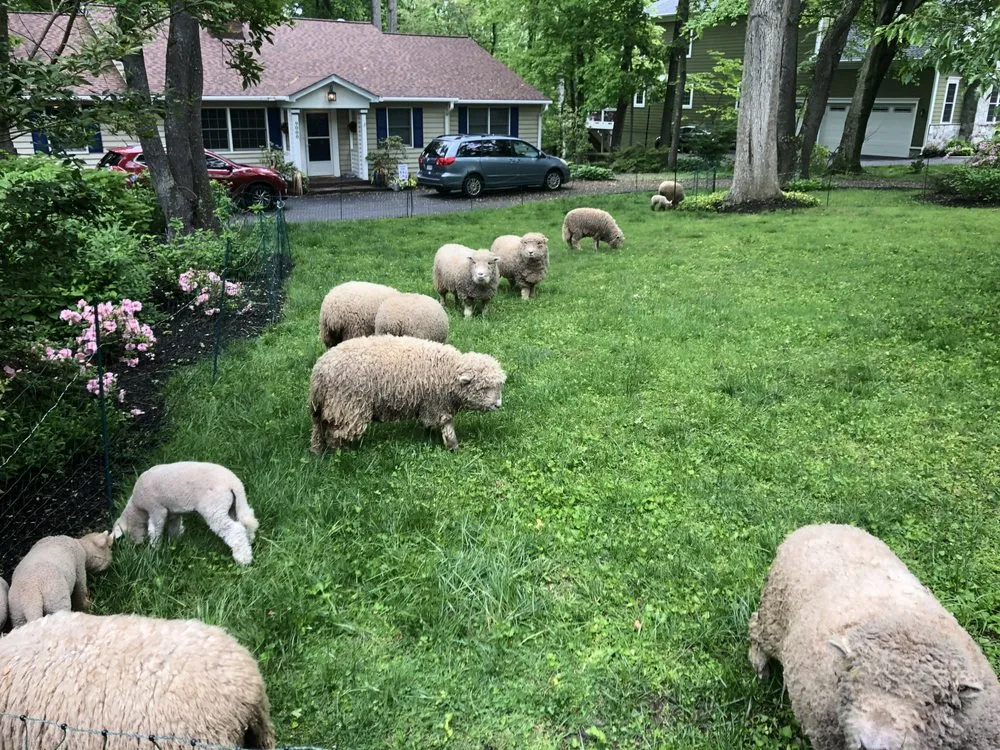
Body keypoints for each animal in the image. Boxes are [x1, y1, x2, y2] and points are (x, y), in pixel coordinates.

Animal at [113, 461, 258, 566]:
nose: (135, 545)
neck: (137, 507)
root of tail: (234, 483)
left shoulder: (156, 509)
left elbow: (155, 529)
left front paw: (155, 548)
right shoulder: (173, 512)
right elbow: (174, 526)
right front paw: (175, 541)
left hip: (214, 509)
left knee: (235, 530)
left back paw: (243, 559)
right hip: (234, 506)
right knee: (247, 520)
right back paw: (249, 542)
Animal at [310, 334, 505, 452]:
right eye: (483, 388)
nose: (498, 405)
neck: (449, 371)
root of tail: (320, 372)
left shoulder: (429, 405)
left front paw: (430, 435)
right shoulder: (436, 403)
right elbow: (447, 425)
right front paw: (453, 447)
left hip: (327, 408)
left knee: (319, 430)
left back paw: (317, 451)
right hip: (348, 406)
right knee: (335, 434)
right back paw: (340, 456)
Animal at [749, 523, 1000, 750]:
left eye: (931, 703)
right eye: (855, 682)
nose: (870, 745)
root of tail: (818, 525)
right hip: (772, 617)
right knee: (755, 630)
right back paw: (761, 667)